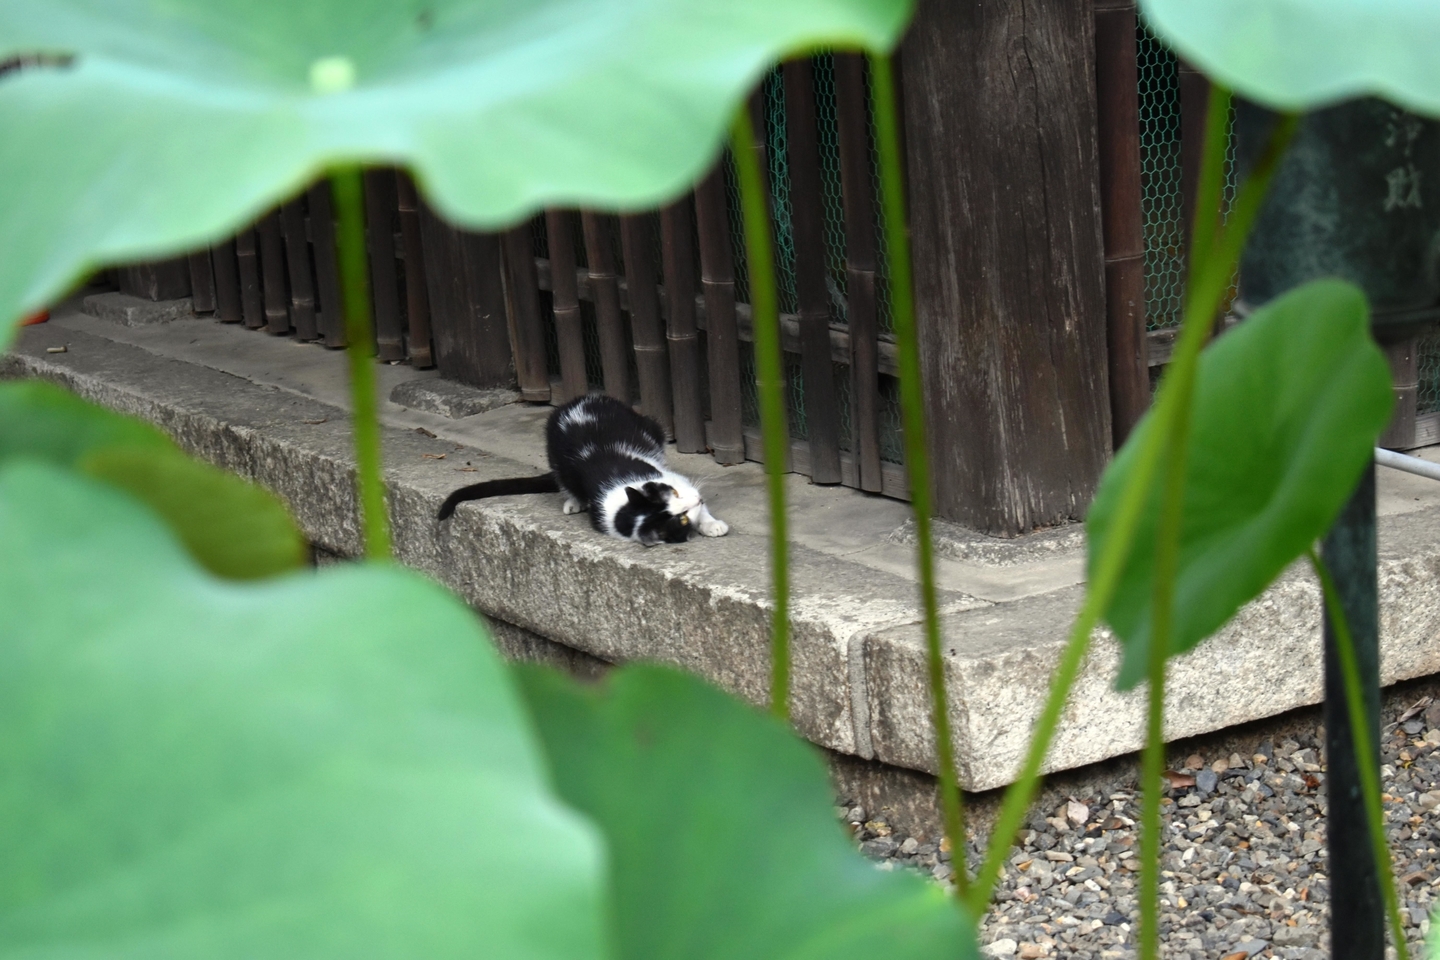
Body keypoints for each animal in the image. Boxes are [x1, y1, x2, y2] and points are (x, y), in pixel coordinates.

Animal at [434, 394, 731, 546]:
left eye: (675, 495)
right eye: (681, 521)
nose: (698, 499)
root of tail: (577, 401)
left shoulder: (669, 478)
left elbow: (694, 495)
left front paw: (712, 524)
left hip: (649, 426)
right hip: (554, 454)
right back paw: (574, 501)